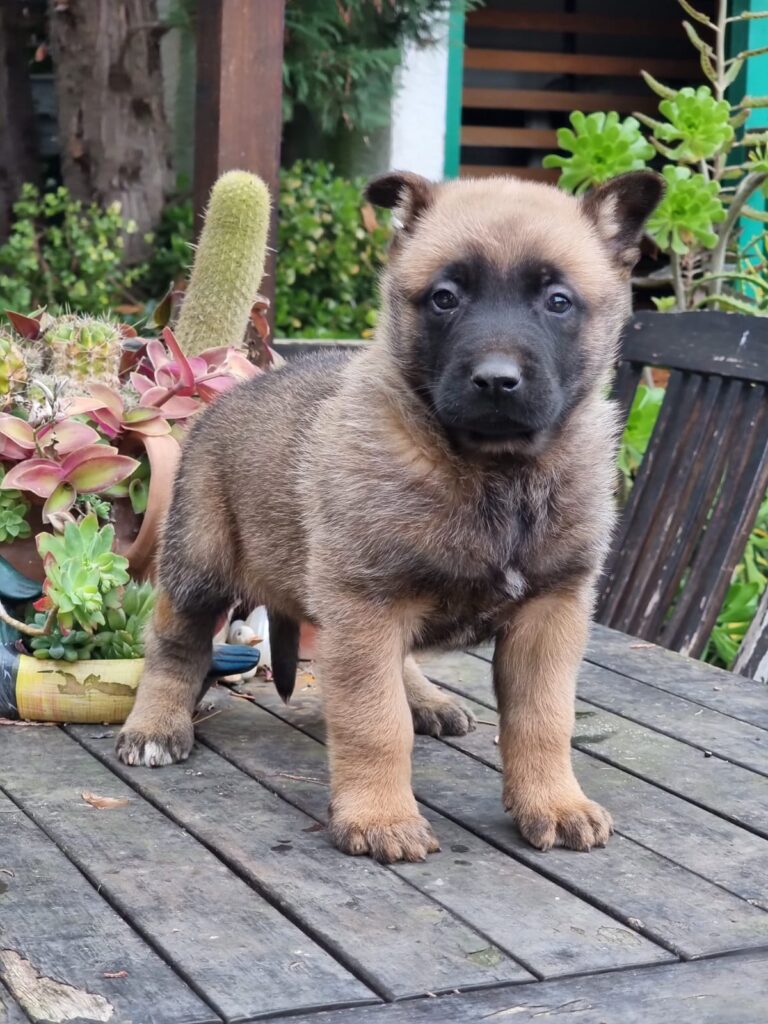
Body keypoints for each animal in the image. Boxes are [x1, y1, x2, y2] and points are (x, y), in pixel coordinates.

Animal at [117, 167, 663, 864]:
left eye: (559, 301)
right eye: (445, 298)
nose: (496, 381)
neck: (496, 472)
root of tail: (230, 390)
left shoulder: (550, 610)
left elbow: (543, 720)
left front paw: (553, 803)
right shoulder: (366, 604)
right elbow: (376, 722)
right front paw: (380, 816)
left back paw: (427, 699)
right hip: (200, 558)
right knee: (174, 643)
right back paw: (156, 726)